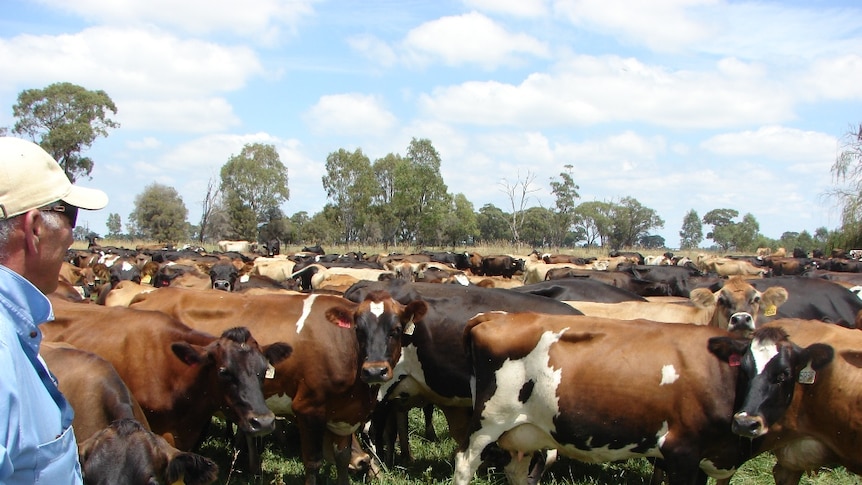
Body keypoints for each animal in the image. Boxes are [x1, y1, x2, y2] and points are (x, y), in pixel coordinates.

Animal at [127, 288, 426, 484]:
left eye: (396, 330)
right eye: (359, 330)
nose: (374, 370)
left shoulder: (344, 415)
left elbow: (341, 458)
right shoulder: (308, 409)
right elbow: (313, 462)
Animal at [460, 312, 748, 482]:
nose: (748, 421)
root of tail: (497, 316)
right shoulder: (683, 453)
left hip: (525, 430)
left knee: (517, 469)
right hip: (489, 422)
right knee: (465, 463)